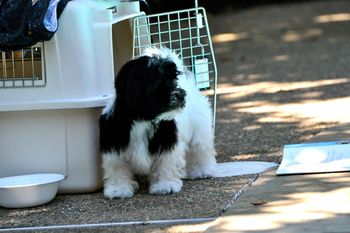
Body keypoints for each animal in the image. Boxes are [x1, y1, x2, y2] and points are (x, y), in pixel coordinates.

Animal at [98, 47, 217, 198]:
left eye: (173, 80)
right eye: (161, 83)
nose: (181, 93)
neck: (143, 119)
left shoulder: (166, 142)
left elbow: (165, 164)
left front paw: (165, 185)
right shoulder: (114, 143)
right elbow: (117, 167)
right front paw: (119, 188)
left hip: (200, 126)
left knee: (200, 148)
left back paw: (203, 170)